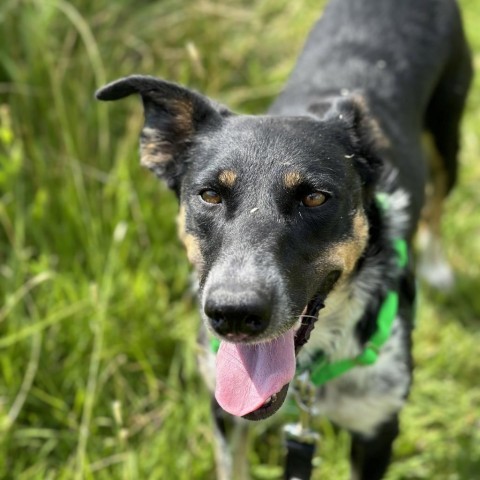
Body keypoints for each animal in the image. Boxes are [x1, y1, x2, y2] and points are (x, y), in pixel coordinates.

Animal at [96, 0, 472, 478]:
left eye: (315, 197)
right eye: (210, 194)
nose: (235, 314)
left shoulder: (377, 429)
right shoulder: (225, 416)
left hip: (448, 133)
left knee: (439, 200)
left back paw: (438, 266)